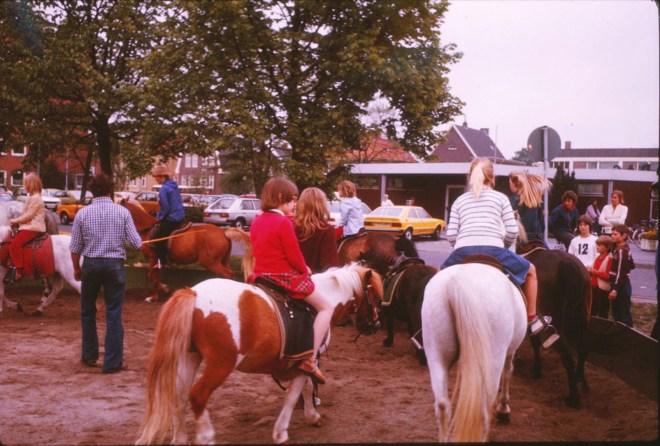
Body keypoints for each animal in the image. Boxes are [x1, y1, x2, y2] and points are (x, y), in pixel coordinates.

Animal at [121, 199, 252, 302]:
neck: (148, 230)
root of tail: (223, 232)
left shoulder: (153, 258)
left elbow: (153, 277)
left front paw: (153, 297)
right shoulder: (155, 261)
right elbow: (152, 276)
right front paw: (165, 289)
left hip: (210, 262)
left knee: (228, 275)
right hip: (223, 261)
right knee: (230, 275)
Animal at [136, 263, 384, 445]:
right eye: (376, 298)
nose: (376, 324)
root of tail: (194, 292)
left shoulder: (300, 364)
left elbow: (305, 389)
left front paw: (312, 416)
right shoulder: (306, 361)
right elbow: (295, 393)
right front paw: (282, 431)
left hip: (191, 356)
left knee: (178, 394)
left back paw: (179, 439)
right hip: (220, 364)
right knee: (197, 395)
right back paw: (206, 436)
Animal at [421, 262, 527, 442]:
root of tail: (456, 282)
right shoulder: (509, 352)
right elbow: (508, 371)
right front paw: (504, 409)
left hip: (436, 356)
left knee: (442, 406)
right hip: (492, 362)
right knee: (482, 413)